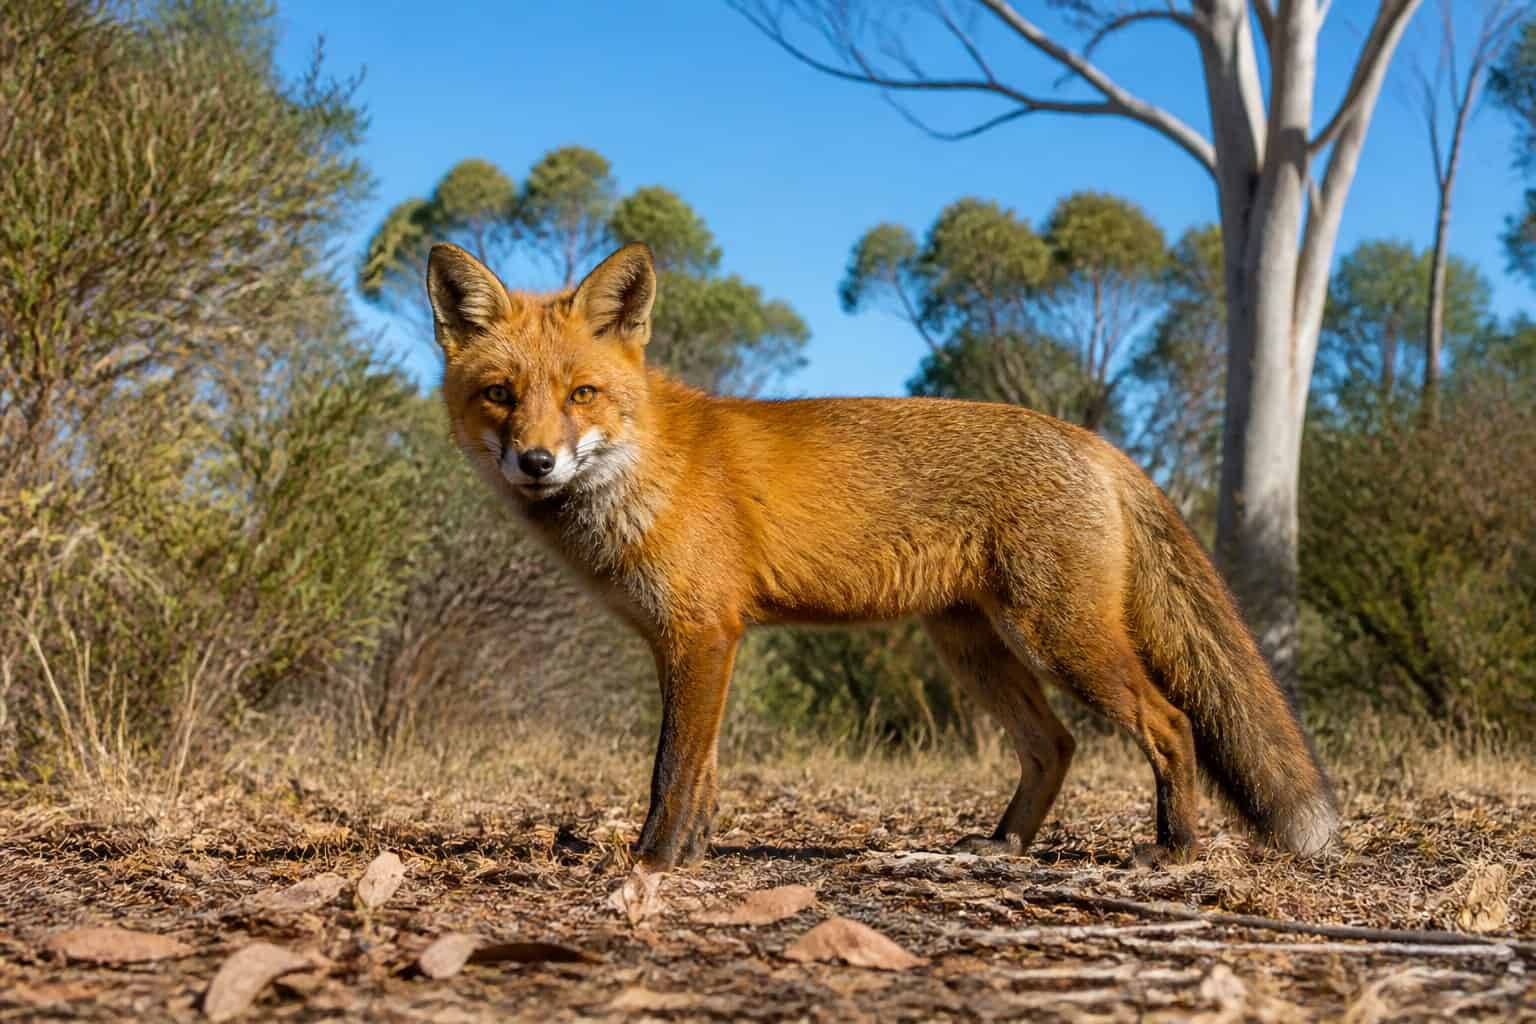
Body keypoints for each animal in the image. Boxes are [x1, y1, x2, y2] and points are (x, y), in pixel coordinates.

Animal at [424, 240, 1339, 871]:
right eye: (501, 395)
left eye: (582, 394)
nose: (536, 461)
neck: (646, 462)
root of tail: (1094, 441)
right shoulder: (691, 644)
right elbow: (707, 773)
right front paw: (691, 857)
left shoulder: (703, 637)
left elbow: (671, 772)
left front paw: (650, 863)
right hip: (974, 649)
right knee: (1055, 745)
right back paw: (1002, 846)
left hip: (1061, 639)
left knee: (1172, 722)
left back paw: (1175, 847)